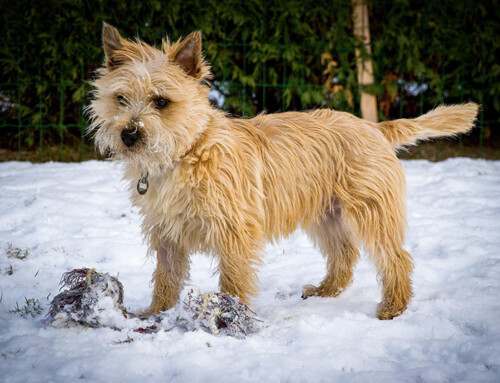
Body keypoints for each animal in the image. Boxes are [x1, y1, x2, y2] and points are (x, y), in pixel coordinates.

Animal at [88, 22, 478, 320]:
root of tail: (374, 127)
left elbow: (233, 279)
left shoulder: (235, 232)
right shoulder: (167, 234)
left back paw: (393, 308)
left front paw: (231, 316)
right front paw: (155, 314)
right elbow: (166, 276)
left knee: (396, 258)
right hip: (327, 214)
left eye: (162, 102)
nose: (129, 134)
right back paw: (325, 291)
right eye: (121, 99)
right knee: (345, 255)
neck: (187, 152)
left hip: (371, 211)